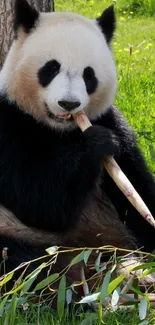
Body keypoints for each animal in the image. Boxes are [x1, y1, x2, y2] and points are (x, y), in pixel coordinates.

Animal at [0, 0, 155, 290]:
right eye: (51, 68)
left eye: (88, 75)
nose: (69, 104)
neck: (60, 130)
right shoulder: (8, 121)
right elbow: (39, 200)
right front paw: (97, 144)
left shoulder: (110, 120)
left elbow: (137, 188)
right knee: (20, 263)